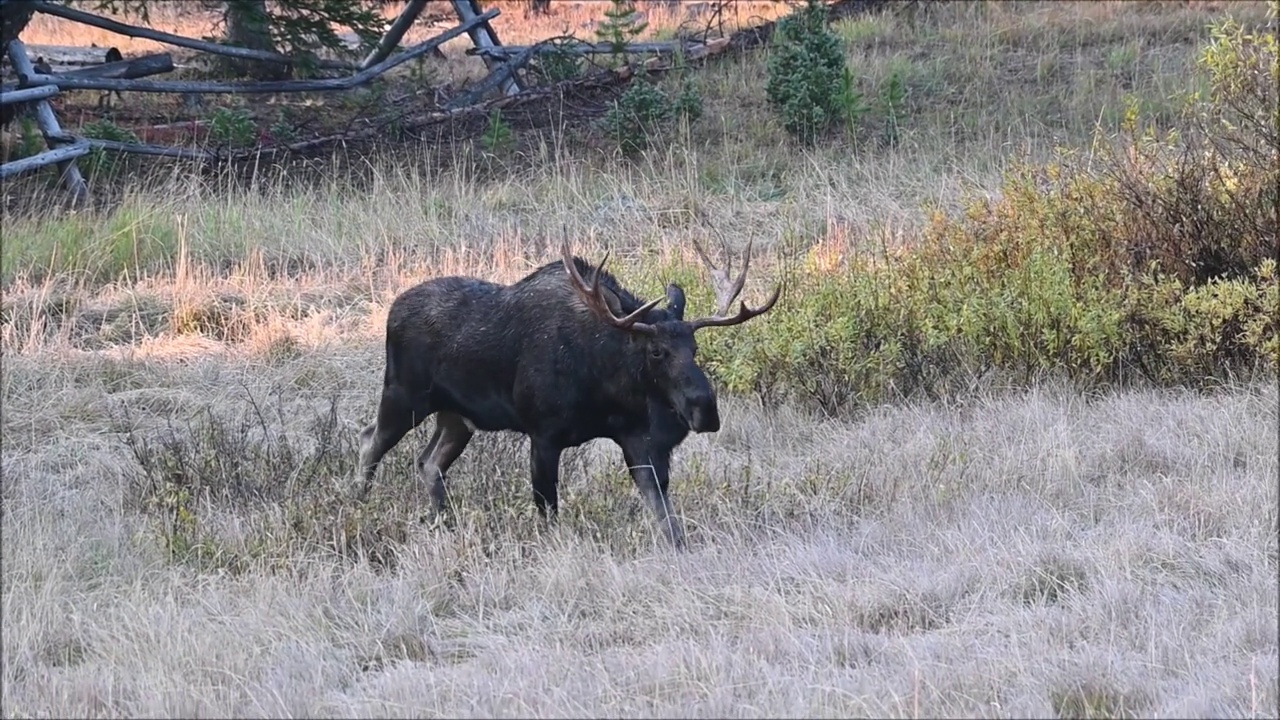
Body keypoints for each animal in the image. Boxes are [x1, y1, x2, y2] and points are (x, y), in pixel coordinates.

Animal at [355, 237, 783, 543]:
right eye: (656, 351)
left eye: (694, 348)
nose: (705, 409)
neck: (609, 387)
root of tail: (392, 311)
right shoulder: (544, 433)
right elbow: (548, 510)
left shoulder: (636, 437)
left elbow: (664, 515)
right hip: (403, 396)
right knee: (369, 441)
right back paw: (358, 505)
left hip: (457, 418)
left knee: (429, 462)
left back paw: (443, 520)